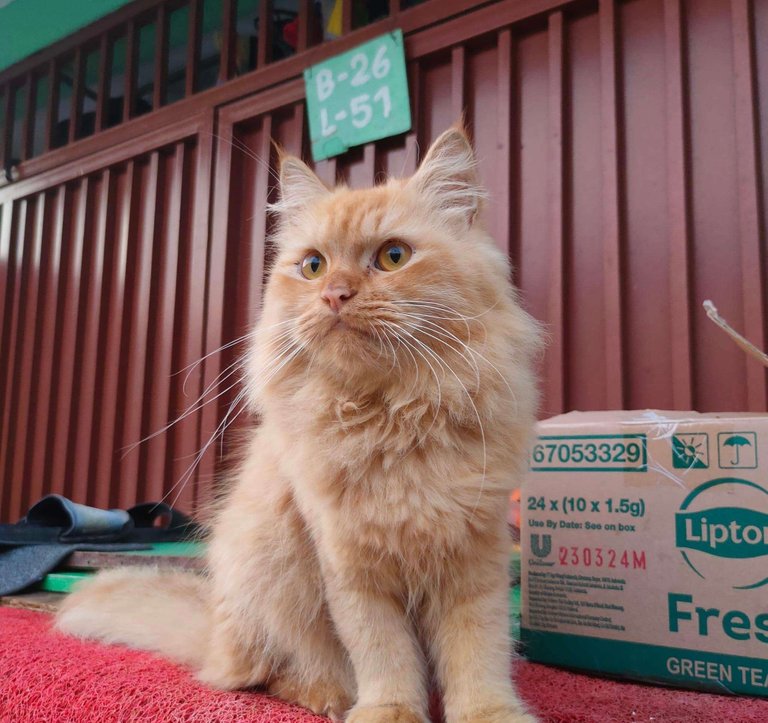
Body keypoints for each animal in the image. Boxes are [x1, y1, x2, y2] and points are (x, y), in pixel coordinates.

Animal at [56, 124, 542, 723]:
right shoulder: (348, 566)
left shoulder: (475, 561)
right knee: (262, 675)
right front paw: (387, 712)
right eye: (313, 266)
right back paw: (328, 696)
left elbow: (480, 656)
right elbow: (383, 655)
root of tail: (213, 634)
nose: (335, 294)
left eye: (394, 257)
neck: (391, 419)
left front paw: (489, 713)